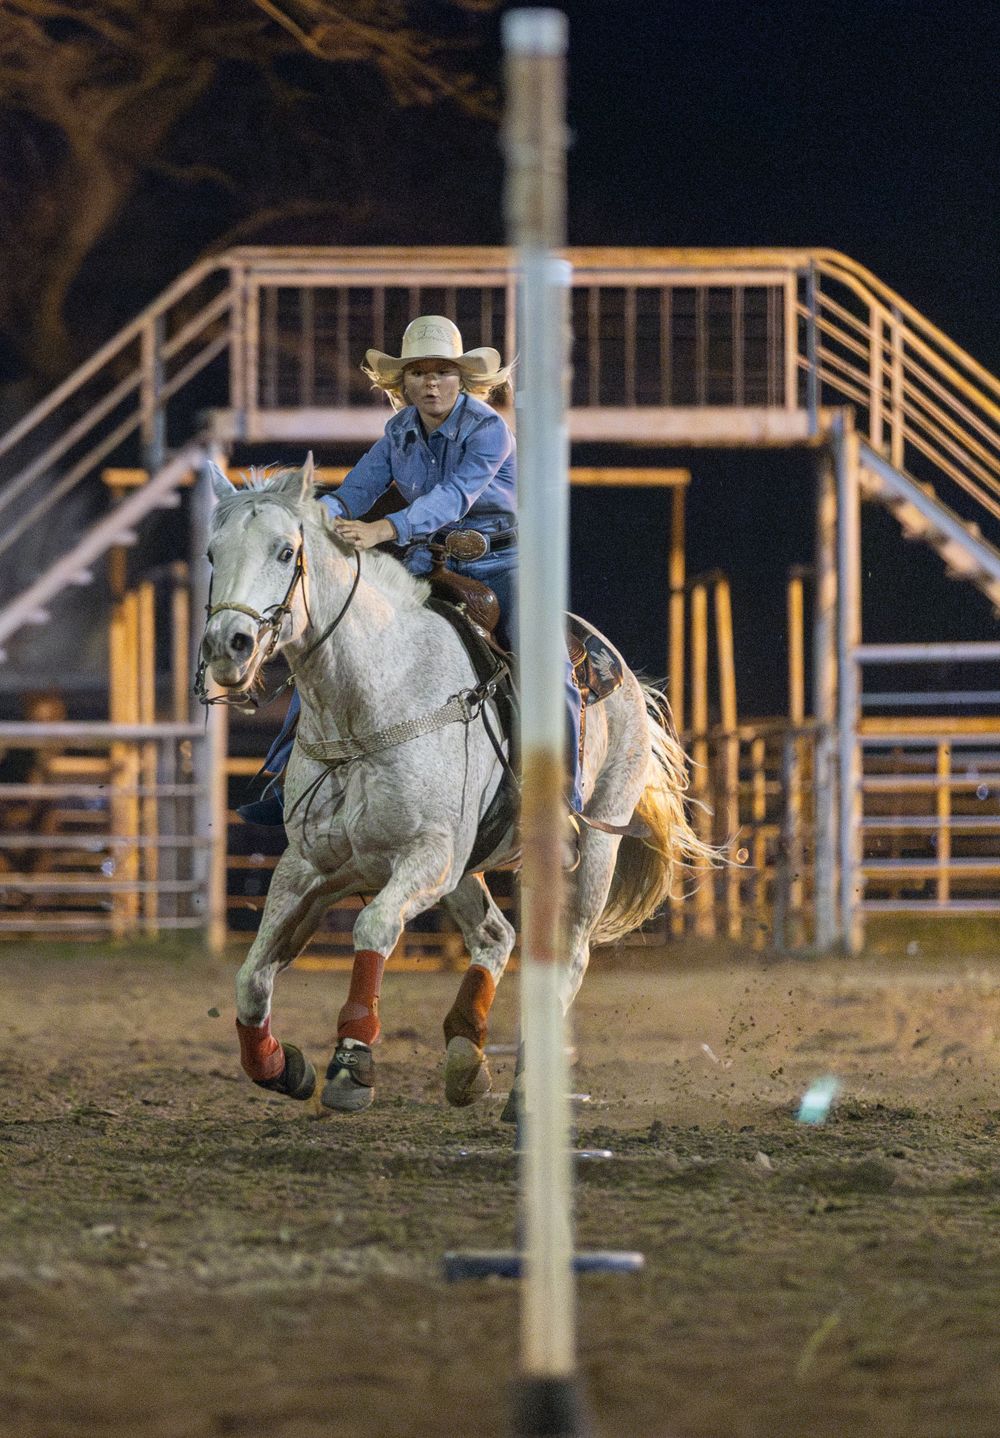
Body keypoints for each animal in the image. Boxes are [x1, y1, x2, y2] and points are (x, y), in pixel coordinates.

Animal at [199, 456, 713, 1115]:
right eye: (212, 553)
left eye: (286, 551)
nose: (227, 646)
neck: (369, 702)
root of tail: (617, 669)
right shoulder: (313, 865)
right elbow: (253, 974)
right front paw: (279, 1065)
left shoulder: (429, 857)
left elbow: (373, 929)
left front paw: (351, 1064)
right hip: (470, 864)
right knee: (497, 934)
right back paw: (467, 1056)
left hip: (591, 847)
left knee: (566, 956)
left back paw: (526, 1087)